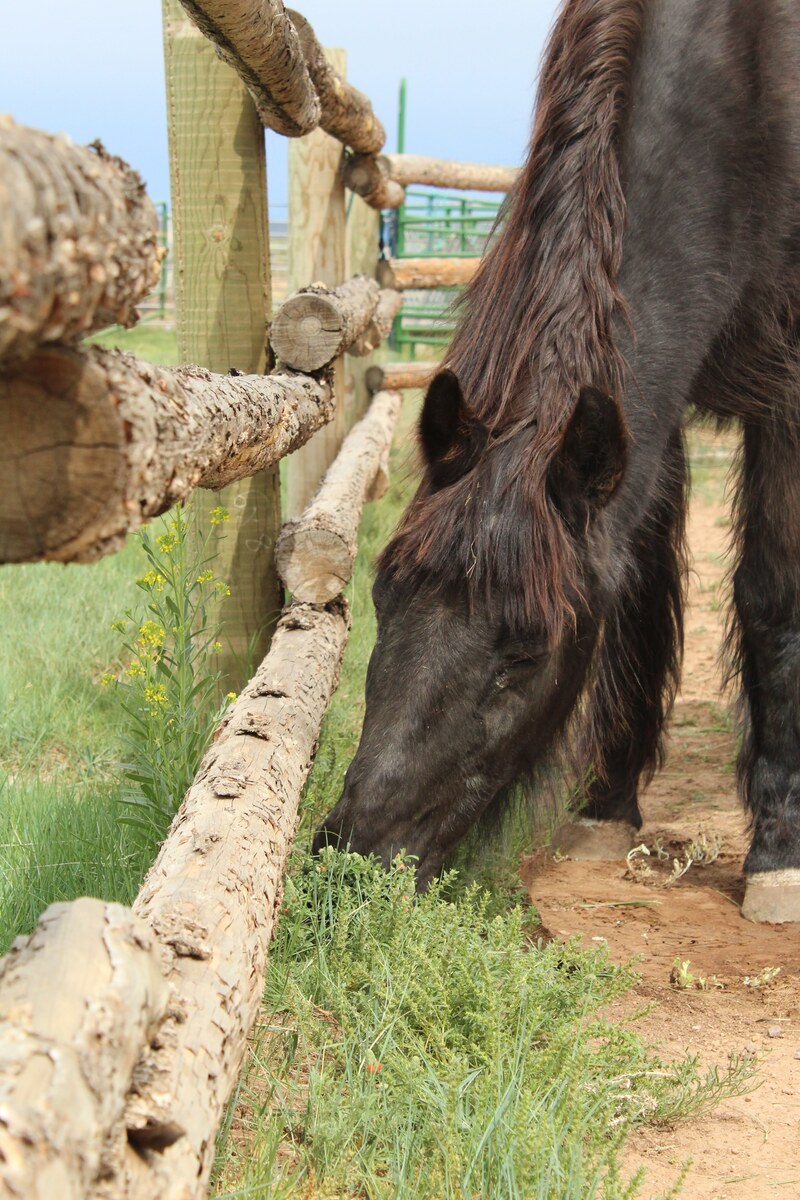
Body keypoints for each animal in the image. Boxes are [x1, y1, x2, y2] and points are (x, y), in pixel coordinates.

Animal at [314, 0, 800, 922]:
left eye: (526, 654)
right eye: (384, 600)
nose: (352, 864)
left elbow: (771, 596)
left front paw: (779, 850)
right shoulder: (638, 419)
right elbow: (641, 580)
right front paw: (608, 804)